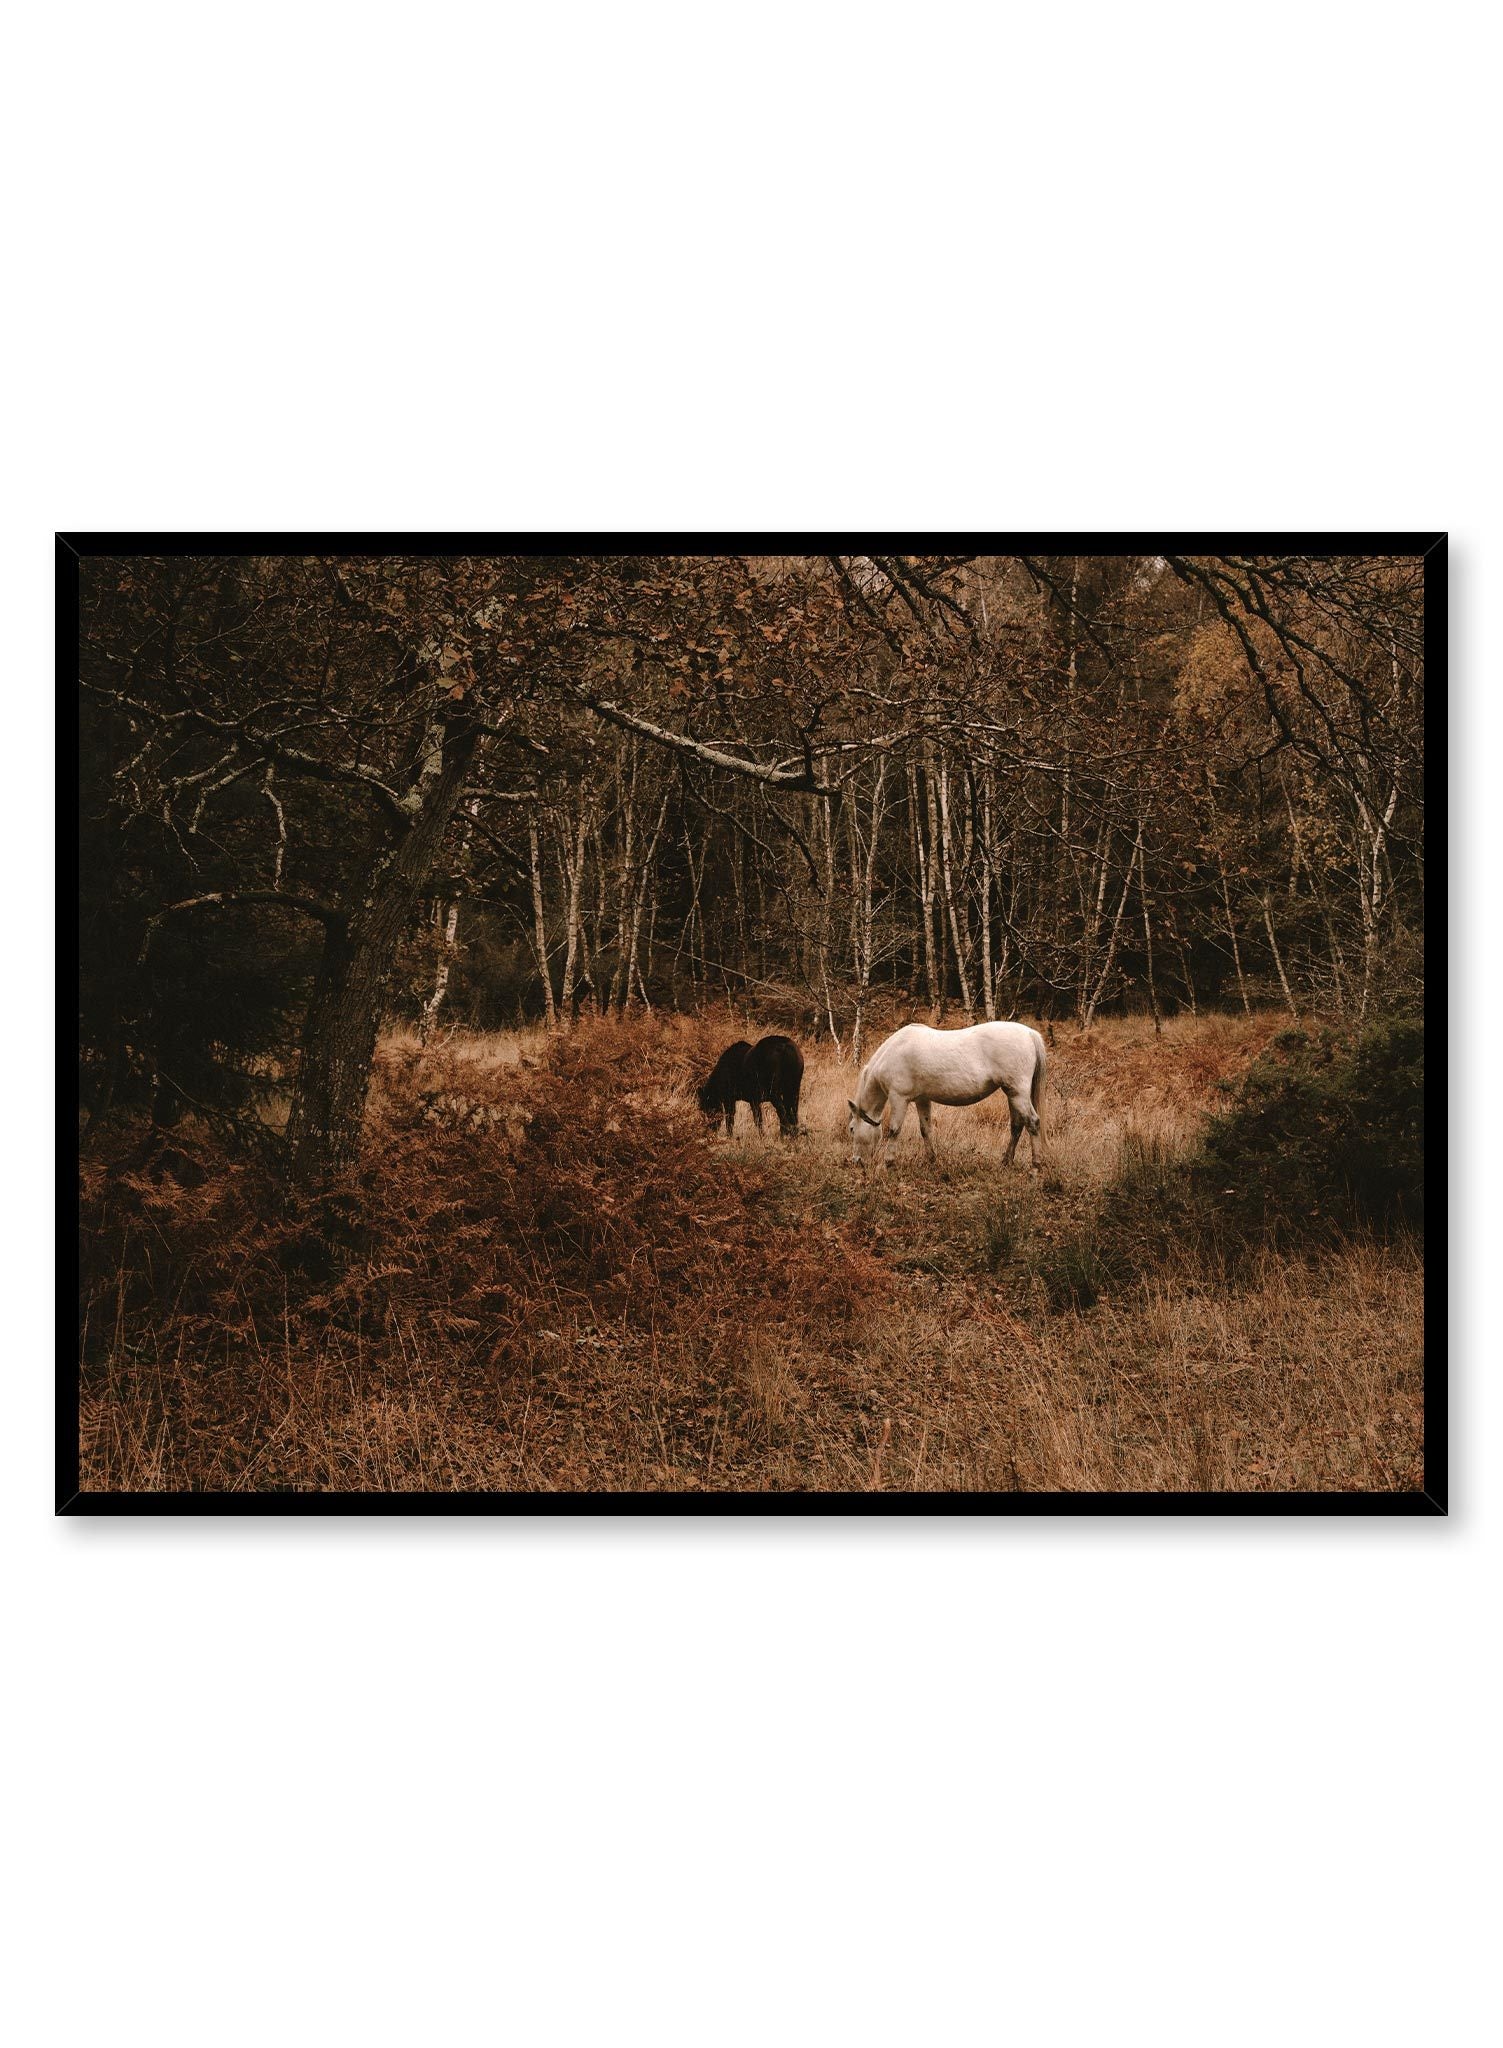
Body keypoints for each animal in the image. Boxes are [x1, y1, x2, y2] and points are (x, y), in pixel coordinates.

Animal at [847, 1019, 1048, 1171]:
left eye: (851, 1129)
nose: (856, 1161)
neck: (894, 1052)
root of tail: (1029, 1033)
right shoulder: (922, 1099)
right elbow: (925, 1129)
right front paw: (931, 1160)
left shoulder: (899, 1098)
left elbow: (894, 1130)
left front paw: (887, 1163)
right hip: (1012, 1094)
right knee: (1017, 1126)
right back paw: (1006, 1162)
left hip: (1018, 1093)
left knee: (1032, 1122)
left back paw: (1035, 1167)